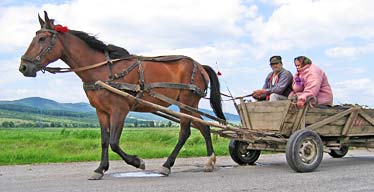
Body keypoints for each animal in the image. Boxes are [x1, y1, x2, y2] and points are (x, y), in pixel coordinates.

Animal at [18, 11, 225, 180]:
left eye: (42, 39)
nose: (24, 67)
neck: (102, 70)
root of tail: (200, 65)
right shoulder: (102, 111)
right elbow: (104, 141)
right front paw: (100, 169)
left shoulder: (120, 109)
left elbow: (114, 143)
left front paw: (137, 162)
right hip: (189, 104)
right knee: (204, 127)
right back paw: (209, 161)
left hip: (186, 101)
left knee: (185, 132)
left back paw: (167, 165)